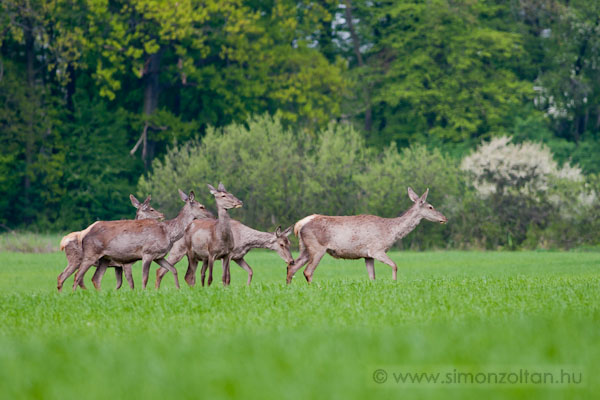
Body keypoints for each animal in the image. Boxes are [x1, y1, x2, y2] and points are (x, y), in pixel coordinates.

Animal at [72, 191, 211, 290]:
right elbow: (144, 278)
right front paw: (144, 293)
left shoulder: (158, 256)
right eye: (202, 206)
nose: (211, 215)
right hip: (91, 254)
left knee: (95, 278)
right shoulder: (147, 253)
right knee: (77, 276)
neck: (168, 233)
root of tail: (84, 236)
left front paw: (178, 289)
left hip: (104, 258)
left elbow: (173, 269)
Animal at [156, 222, 294, 288]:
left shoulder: (238, 257)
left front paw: (247, 287)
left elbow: (250, 271)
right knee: (160, 271)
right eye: (281, 244)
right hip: (178, 251)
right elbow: (228, 277)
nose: (291, 261)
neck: (244, 240)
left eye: (289, 242)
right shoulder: (228, 255)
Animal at [286, 188, 446, 284]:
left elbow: (372, 277)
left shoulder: (367, 255)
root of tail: (299, 224)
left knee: (292, 267)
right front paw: (394, 283)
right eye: (430, 207)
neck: (390, 232)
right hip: (317, 247)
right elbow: (395, 265)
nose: (444, 218)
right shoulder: (376, 250)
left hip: (305, 248)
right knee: (307, 271)